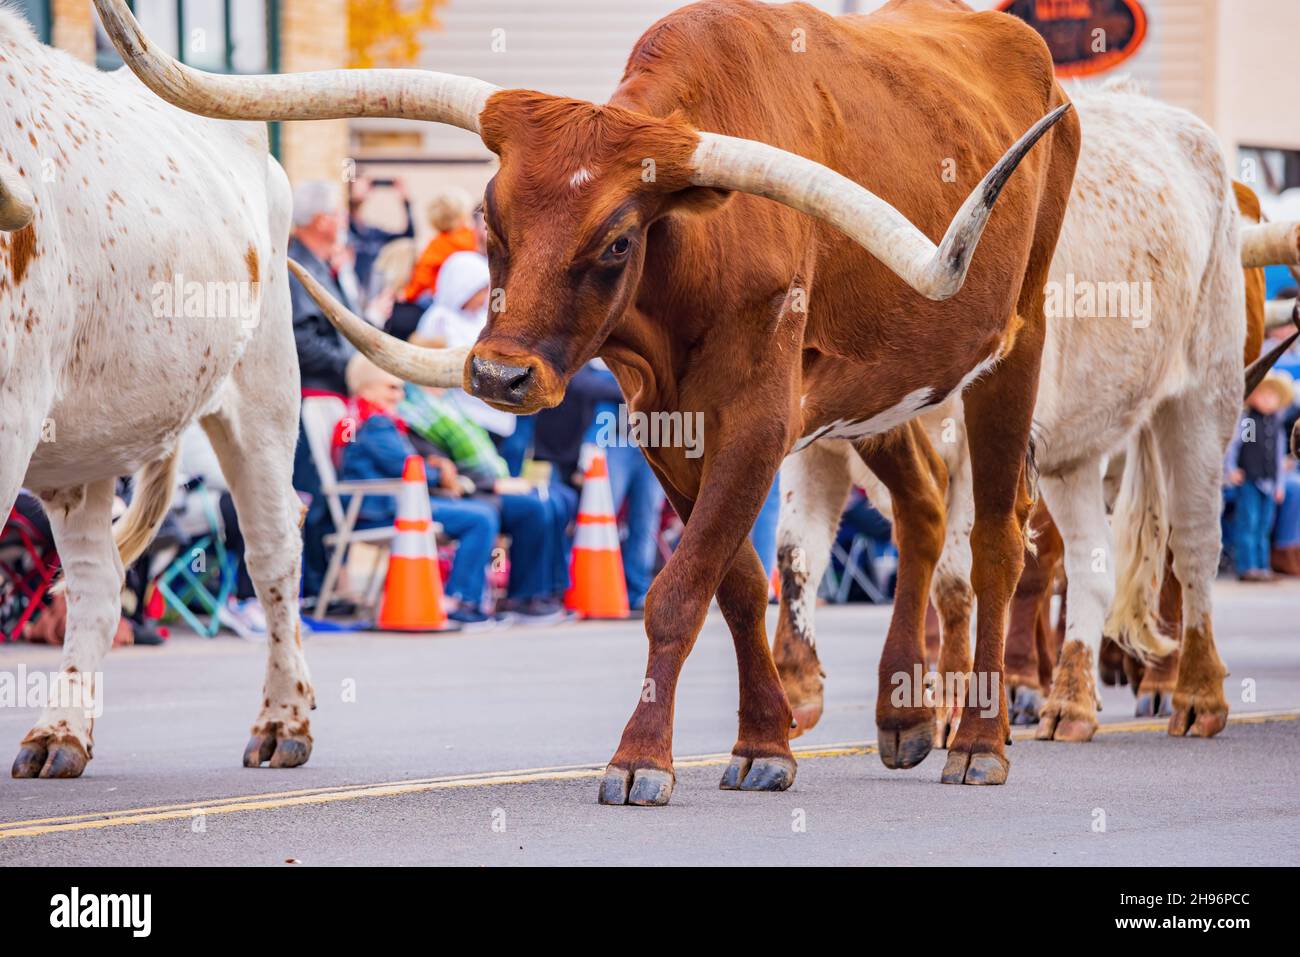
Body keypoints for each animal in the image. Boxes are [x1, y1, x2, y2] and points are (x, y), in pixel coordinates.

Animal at [96, 0, 1081, 800]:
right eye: (490, 217)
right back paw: (906, 715)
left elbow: (678, 592)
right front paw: (765, 743)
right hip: (880, 389)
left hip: (1015, 344)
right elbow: (734, 582)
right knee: (922, 509)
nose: (498, 377)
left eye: (614, 242)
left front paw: (642, 759)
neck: (692, 264)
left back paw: (981, 739)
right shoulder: (665, 430)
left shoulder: (759, 423)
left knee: (1000, 540)